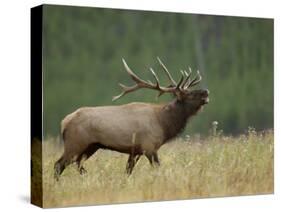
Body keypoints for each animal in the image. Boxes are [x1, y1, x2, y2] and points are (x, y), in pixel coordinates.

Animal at [54, 57, 208, 179]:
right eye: (189, 94)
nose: (206, 91)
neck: (164, 124)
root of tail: (64, 122)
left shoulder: (135, 151)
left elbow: (128, 171)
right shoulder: (149, 146)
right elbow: (157, 167)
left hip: (91, 146)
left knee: (77, 164)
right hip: (75, 143)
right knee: (59, 164)